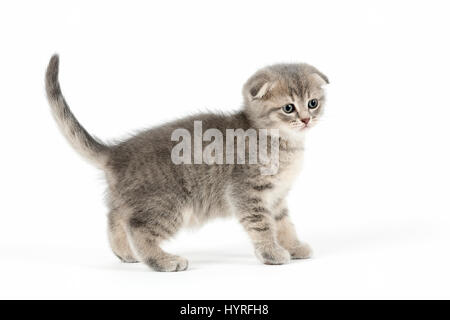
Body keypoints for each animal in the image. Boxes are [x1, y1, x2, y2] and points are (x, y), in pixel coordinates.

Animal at [44, 54, 326, 270]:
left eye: (313, 103)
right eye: (288, 108)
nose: (306, 119)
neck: (283, 142)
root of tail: (117, 152)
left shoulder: (276, 197)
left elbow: (284, 223)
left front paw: (294, 246)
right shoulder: (246, 192)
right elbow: (263, 225)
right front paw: (271, 253)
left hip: (130, 200)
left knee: (114, 217)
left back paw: (124, 252)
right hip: (170, 204)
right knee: (138, 228)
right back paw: (163, 261)